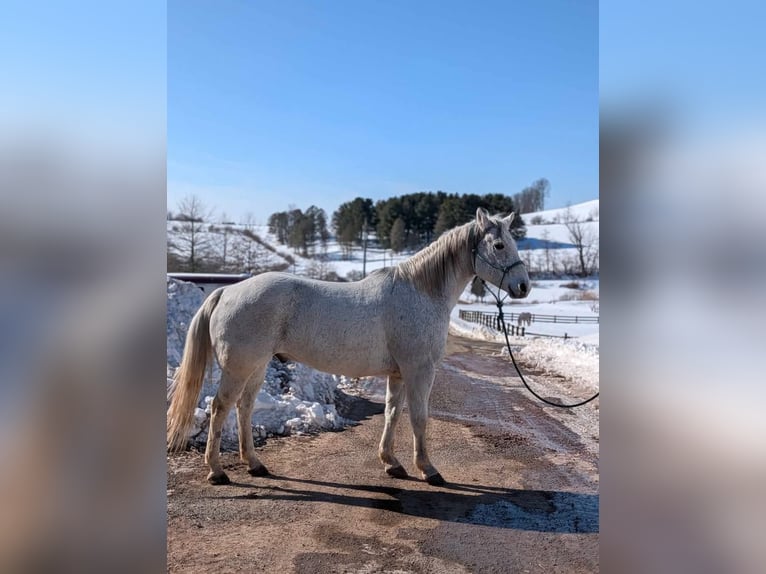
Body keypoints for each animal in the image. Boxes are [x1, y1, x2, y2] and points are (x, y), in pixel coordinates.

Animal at [167, 208, 530, 486]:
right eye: (499, 245)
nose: (523, 286)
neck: (421, 292)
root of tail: (227, 291)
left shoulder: (399, 373)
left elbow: (393, 413)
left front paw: (391, 462)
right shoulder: (419, 370)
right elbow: (419, 418)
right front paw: (428, 470)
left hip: (256, 365)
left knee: (244, 407)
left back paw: (255, 464)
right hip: (239, 367)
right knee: (220, 408)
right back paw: (216, 471)